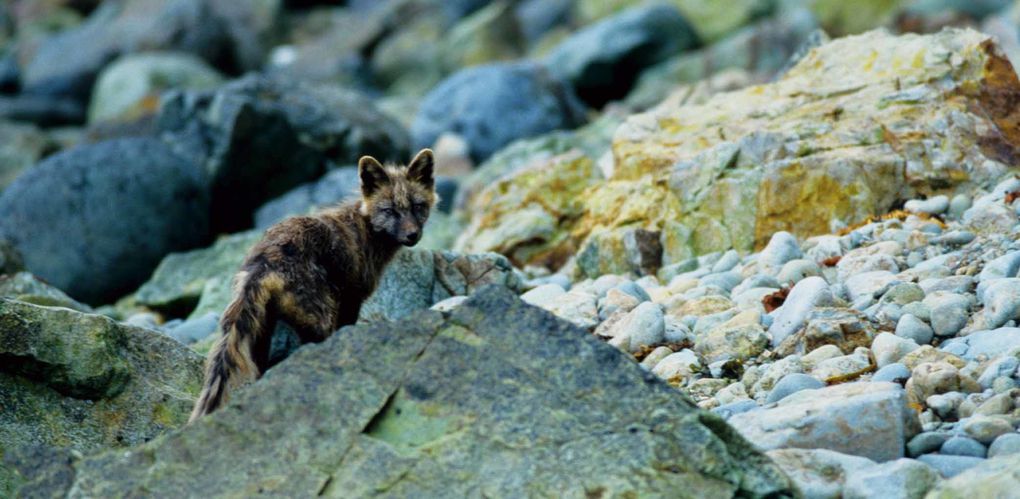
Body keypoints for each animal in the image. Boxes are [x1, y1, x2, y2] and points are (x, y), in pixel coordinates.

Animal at [189, 146, 436, 420]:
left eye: (417, 206)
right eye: (389, 210)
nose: (412, 235)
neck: (365, 231)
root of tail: (263, 262)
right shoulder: (352, 299)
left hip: (262, 330)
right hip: (319, 321)